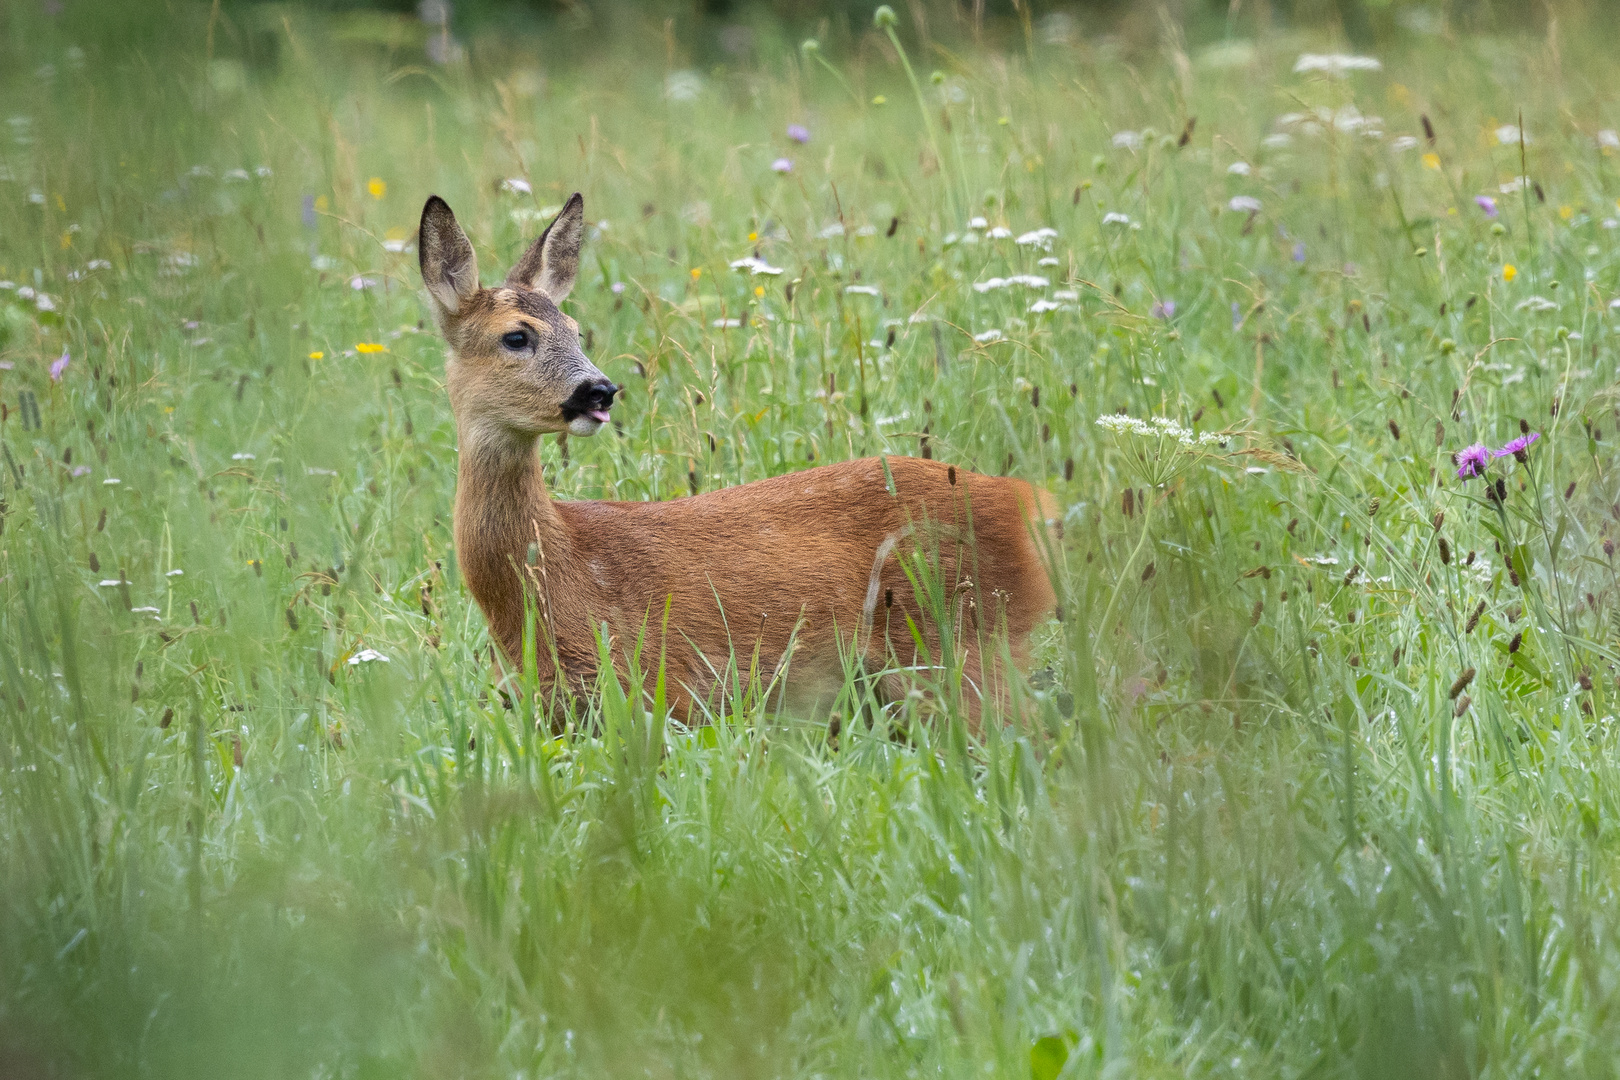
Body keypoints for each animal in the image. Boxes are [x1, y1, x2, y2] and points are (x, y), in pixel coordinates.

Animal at [417, 194, 1062, 725]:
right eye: (516, 336)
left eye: (575, 328)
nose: (599, 391)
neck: (556, 582)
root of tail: (1031, 504)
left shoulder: (666, 692)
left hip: (962, 647)